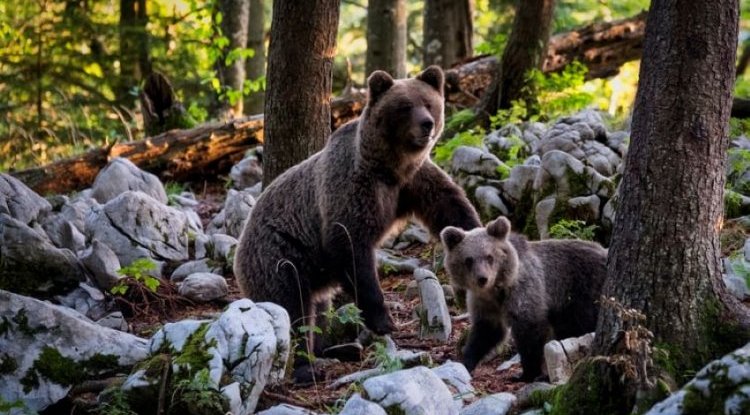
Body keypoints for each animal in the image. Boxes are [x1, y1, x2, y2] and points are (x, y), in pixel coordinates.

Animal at [234, 65, 481, 381]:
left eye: (428, 103)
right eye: (404, 106)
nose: (426, 124)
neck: (389, 167)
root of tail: (241, 243)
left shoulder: (413, 182)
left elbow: (450, 205)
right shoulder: (352, 188)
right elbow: (351, 245)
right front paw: (383, 320)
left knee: (319, 309)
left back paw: (337, 348)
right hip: (280, 256)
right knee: (293, 309)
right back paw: (306, 366)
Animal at [440, 216, 607, 381]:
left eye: (489, 257)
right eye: (468, 260)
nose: (482, 279)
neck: (496, 290)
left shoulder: (524, 289)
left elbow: (529, 328)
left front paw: (526, 373)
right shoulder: (484, 302)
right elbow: (486, 332)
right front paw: (466, 362)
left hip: (584, 289)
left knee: (584, 323)